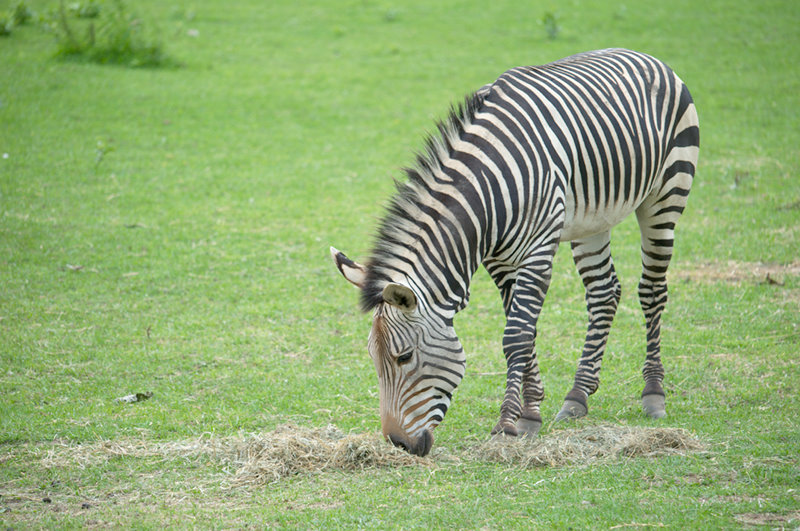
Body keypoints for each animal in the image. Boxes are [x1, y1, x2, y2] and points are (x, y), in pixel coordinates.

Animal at [328, 48, 696, 458]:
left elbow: (517, 335)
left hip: (666, 194)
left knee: (651, 290)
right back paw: (578, 396)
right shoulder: (498, 260)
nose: (399, 444)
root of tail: (640, 54)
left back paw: (653, 393)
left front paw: (507, 424)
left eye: (403, 356)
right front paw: (531, 413)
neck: (487, 194)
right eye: (373, 359)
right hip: (593, 221)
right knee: (604, 293)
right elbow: (526, 330)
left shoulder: (538, 250)